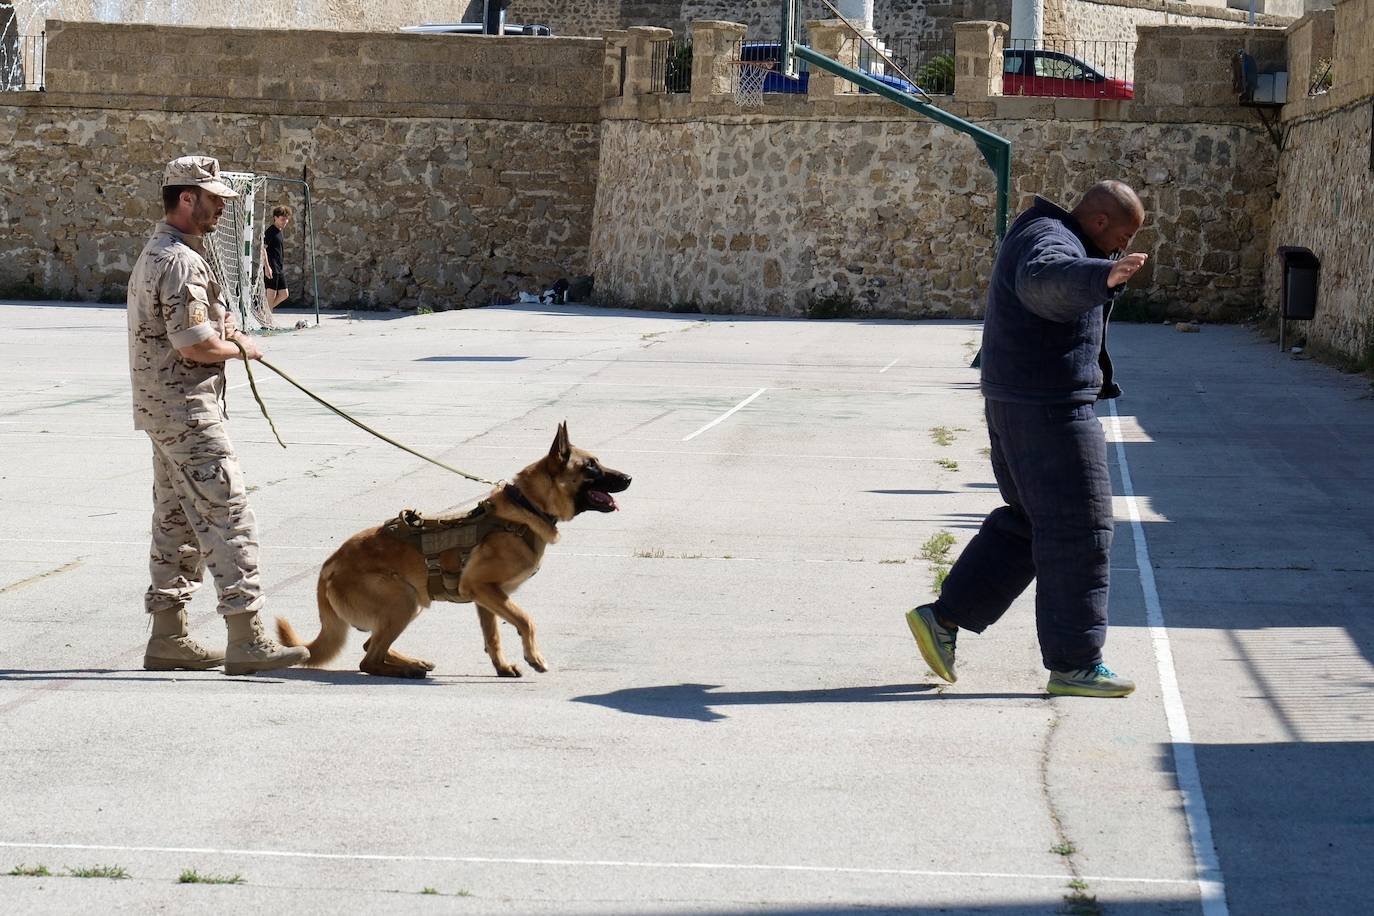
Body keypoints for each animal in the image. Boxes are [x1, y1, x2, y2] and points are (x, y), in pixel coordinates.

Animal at [278, 425, 632, 678]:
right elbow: (525, 619)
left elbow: (493, 636)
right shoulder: (484, 588)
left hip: (406, 604)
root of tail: (328, 567)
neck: (527, 506)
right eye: (591, 467)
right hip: (403, 600)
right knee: (368, 660)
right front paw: (535, 656)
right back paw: (407, 671)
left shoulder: (487, 597)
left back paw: (412, 663)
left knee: (369, 646)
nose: (629, 477)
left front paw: (503, 668)